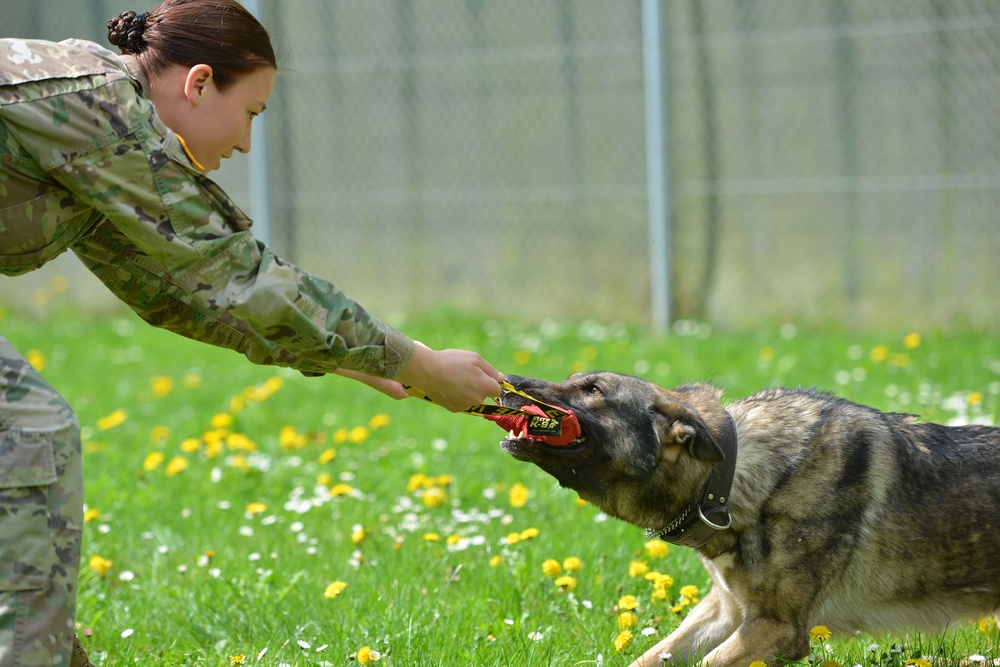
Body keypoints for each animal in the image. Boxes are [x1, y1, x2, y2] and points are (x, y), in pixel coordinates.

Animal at [498, 374, 1000, 664]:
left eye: (594, 390)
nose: (505, 380)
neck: (729, 479)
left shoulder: (775, 628)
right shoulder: (725, 612)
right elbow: (650, 658)